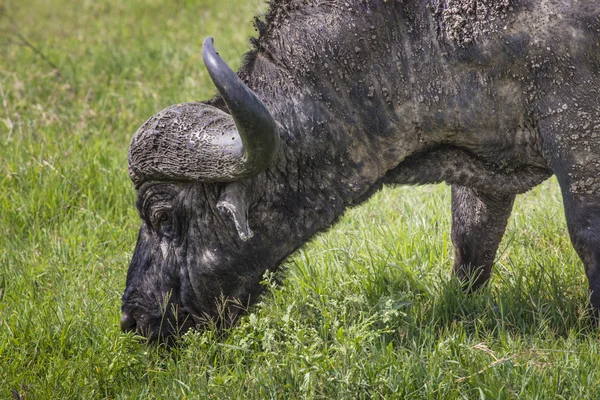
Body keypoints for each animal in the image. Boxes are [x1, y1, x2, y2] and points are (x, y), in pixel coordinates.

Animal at [119, 0, 600, 340]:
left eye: (163, 216)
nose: (133, 318)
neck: (421, 30)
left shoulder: (577, 127)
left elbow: (587, 235)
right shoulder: (484, 160)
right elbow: (473, 241)